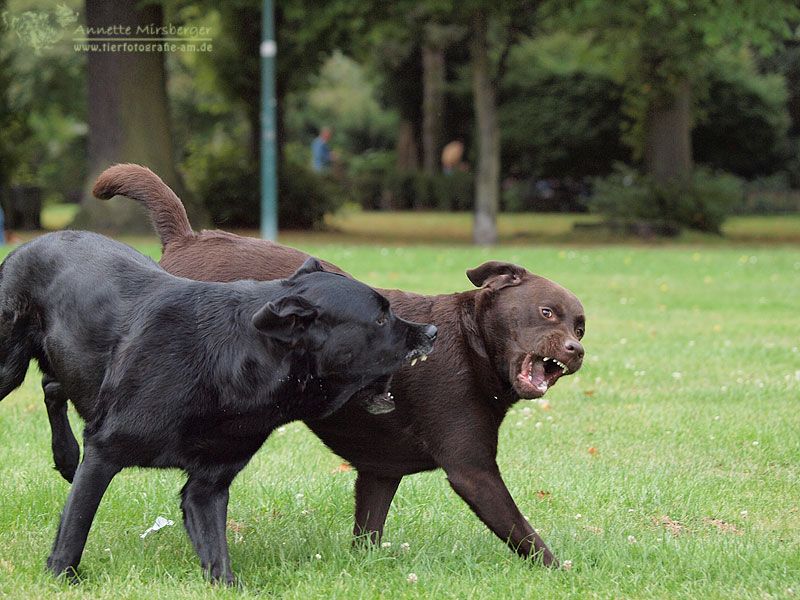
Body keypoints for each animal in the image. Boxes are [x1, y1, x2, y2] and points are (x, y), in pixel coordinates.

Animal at [0, 230, 436, 583]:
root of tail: (30, 243)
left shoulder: (207, 486)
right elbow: (76, 523)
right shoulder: (105, 452)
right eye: (380, 319)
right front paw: (61, 576)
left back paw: (65, 455)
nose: (431, 331)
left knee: (52, 384)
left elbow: (216, 554)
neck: (228, 362)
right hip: (8, 367)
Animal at [47, 164, 586, 567]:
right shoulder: (472, 469)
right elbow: (525, 533)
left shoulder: (378, 474)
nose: (576, 351)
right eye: (547, 312)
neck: (472, 342)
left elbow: (368, 532)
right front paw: (561, 573)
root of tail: (186, 238)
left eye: (580, 326)